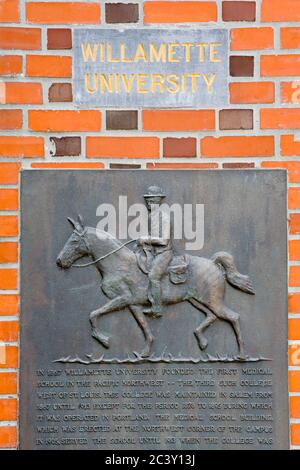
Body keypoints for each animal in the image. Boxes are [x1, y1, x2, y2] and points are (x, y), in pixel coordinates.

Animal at [55, 215, 254, 358]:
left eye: (74, 241)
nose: (59, 261)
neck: (117, 263)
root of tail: (213, 263)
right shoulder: (132, 304)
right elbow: (144, 327)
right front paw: (145, 352)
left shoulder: (121, 299)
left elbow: (94, 314)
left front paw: (103, 340)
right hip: (196, 300)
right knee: (212, 316)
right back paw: (202, 341)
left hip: (213, 301)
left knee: (233, 317)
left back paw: (241, 354)